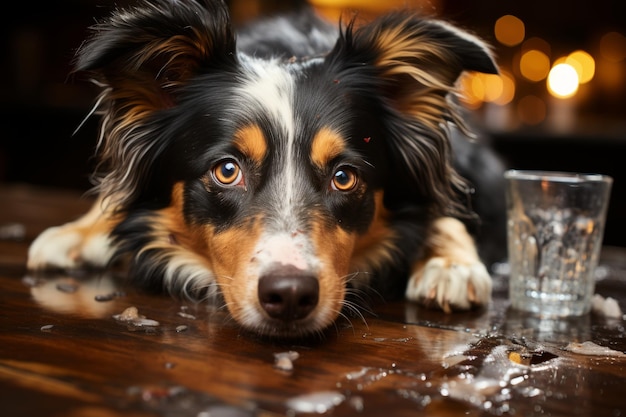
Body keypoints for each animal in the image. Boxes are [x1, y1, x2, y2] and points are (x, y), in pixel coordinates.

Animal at [28, 0, 502, 338]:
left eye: (344, 177)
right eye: (227, 170)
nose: (290, 296)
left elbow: (444, 212)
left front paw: (451, 264)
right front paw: (82, 230)